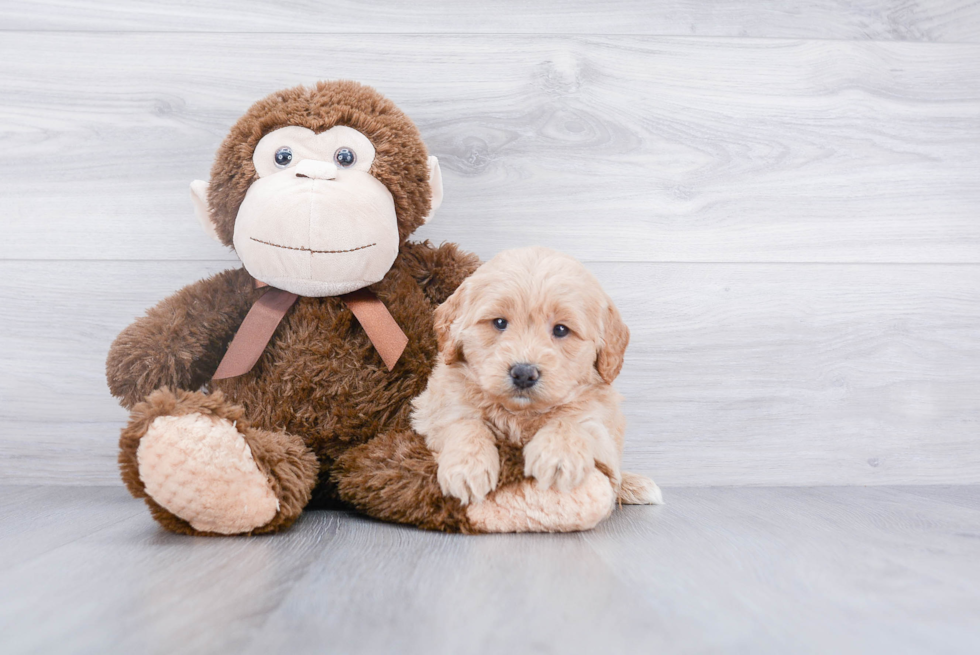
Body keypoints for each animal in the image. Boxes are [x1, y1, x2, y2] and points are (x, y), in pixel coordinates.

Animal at [410, 247, 664, 532]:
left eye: (561, 329)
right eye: (499, 323)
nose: (523, 373)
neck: (520, 414)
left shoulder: (603, 429)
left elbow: (572, 421)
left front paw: (558, 457)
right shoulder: (432, 412)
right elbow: (464, 423)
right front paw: (467, 466)